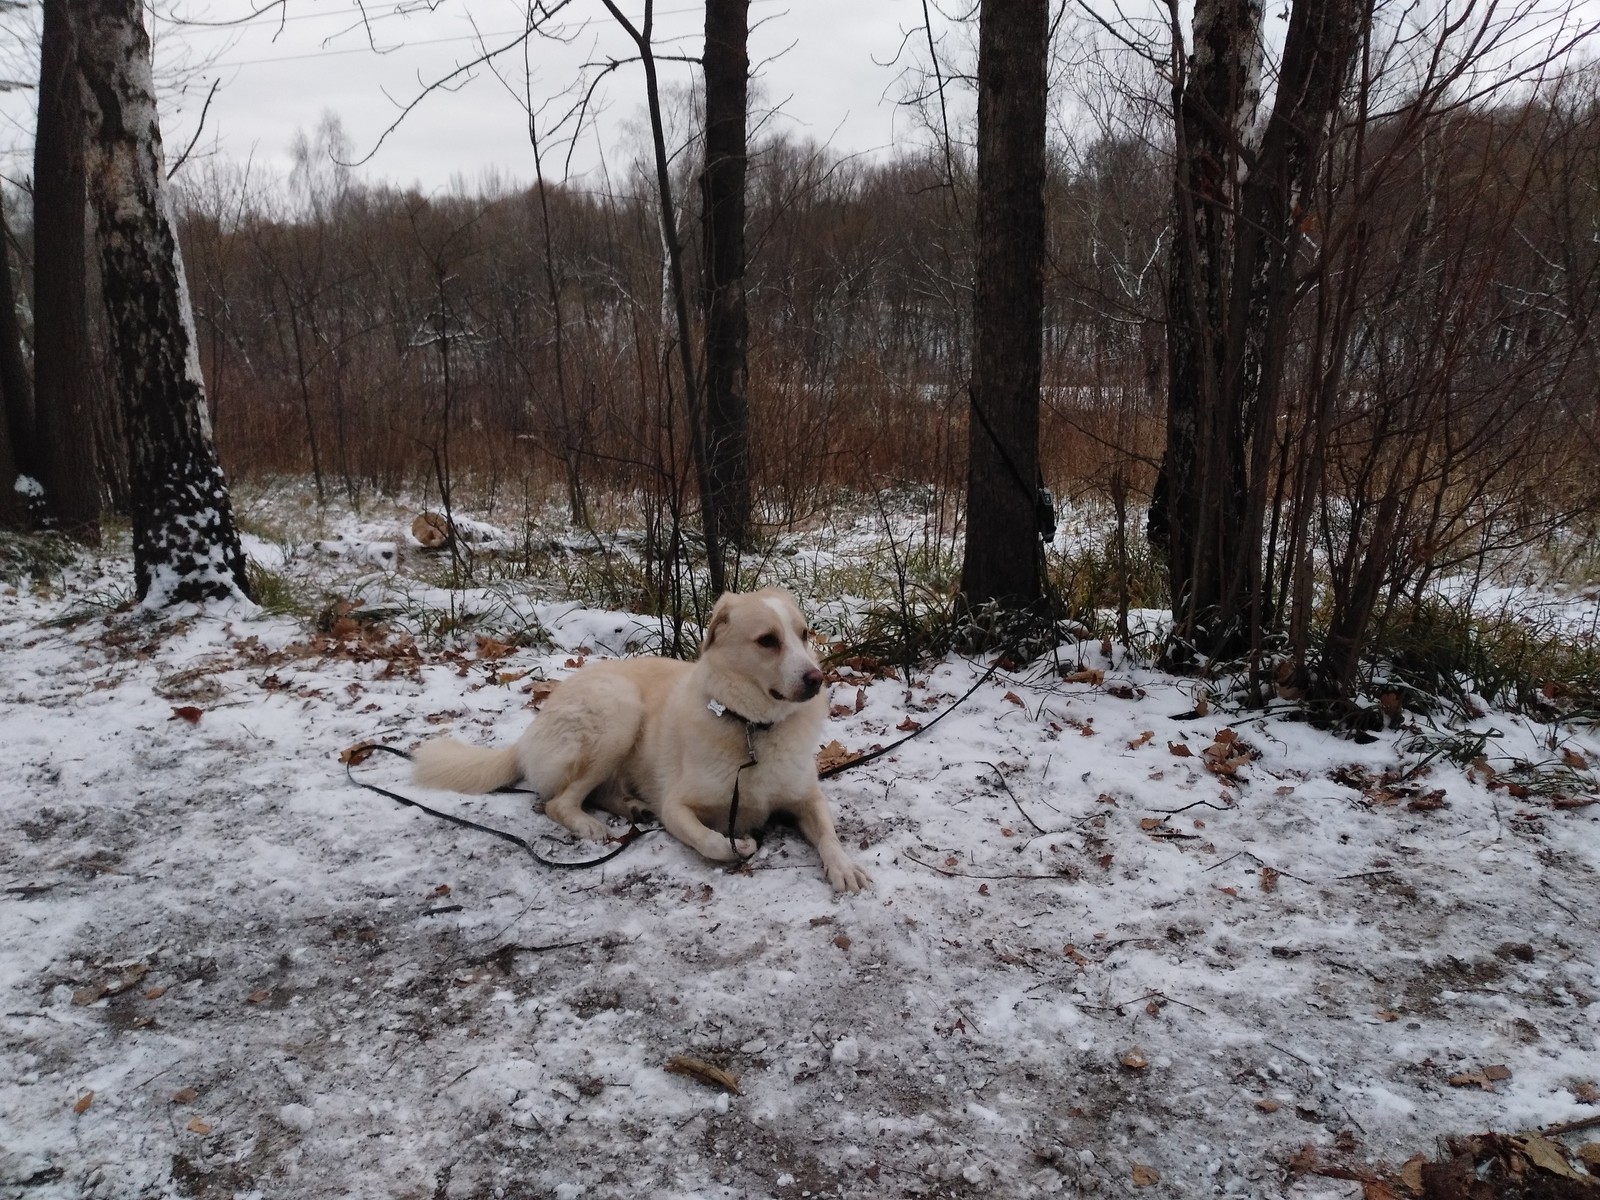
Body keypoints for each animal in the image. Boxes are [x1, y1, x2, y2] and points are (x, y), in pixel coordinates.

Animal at [406, 588, 870, 896]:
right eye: (768, 641)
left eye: (804, 634)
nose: (816, 679)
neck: (752, 729)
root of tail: (527, 734)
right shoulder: (678, 805)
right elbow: (707, 839)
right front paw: (736, 844)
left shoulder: (807, 798)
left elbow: (829, 834)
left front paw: (844, 867)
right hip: (618, 711)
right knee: (559, 802)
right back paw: (590, 824)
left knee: (598, 792)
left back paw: (632, 808)